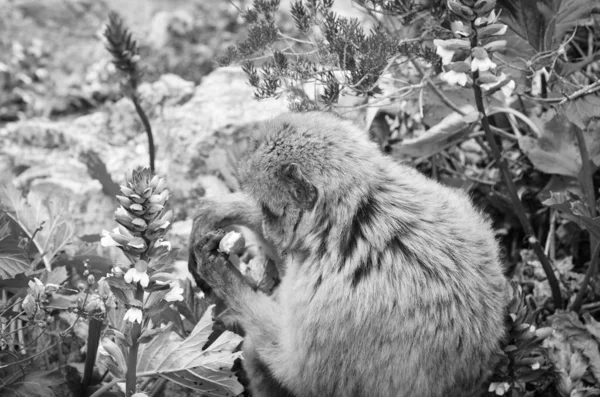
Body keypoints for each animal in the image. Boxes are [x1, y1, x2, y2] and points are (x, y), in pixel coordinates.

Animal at [190, 110, 508, 396]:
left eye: (270, 210)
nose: (268, 227)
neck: (354, 213)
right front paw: (225, 208)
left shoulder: (327, 302)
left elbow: (298, 373)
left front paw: (221, 275)